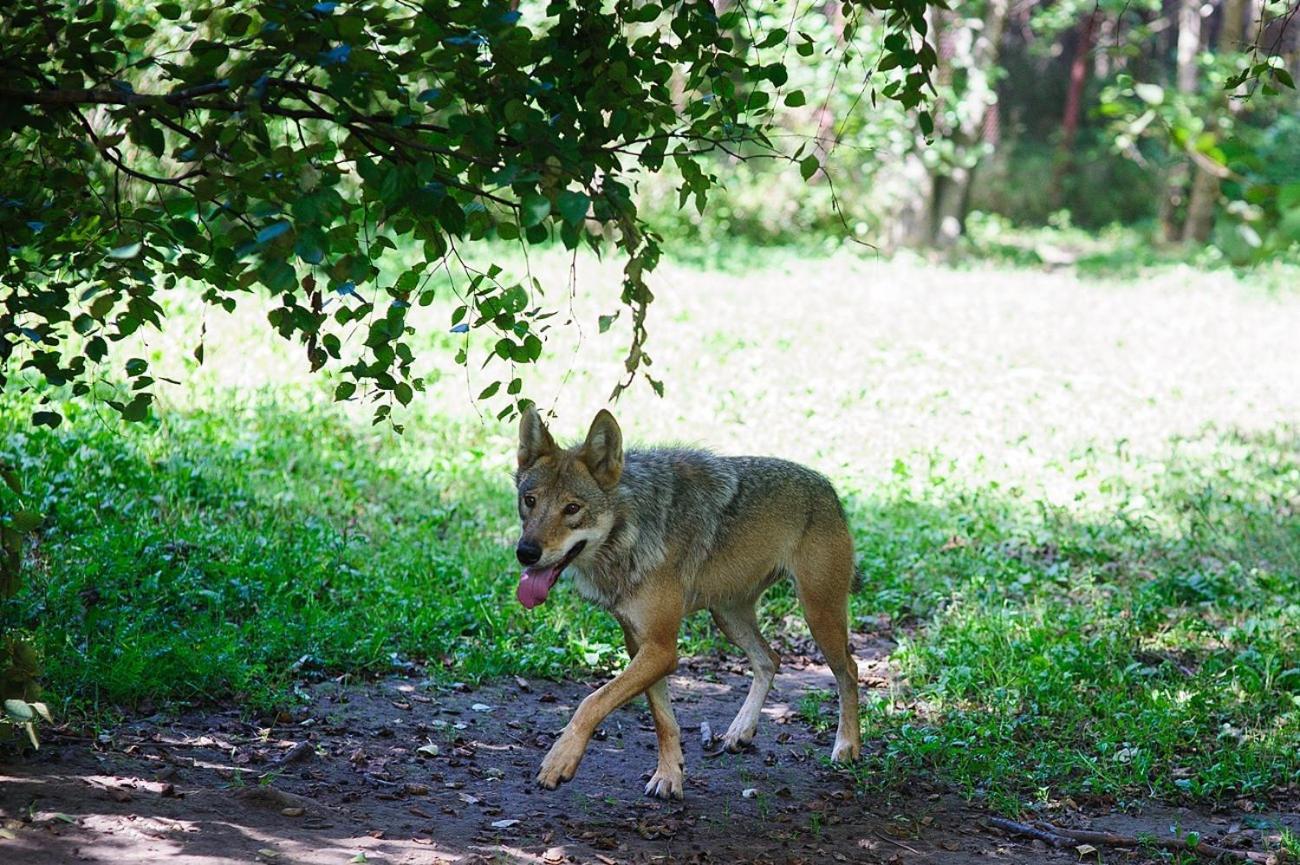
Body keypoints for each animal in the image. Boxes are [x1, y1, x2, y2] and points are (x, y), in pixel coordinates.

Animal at [509, 408, 863, 801]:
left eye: (572, 508)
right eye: (530, 501)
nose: (526, 553)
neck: (629, 533)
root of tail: (827, 486)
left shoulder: (662, 650)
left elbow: (592, 701)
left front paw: (559, 760)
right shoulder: (641, 644)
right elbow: (663, 719)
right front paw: (669, 776)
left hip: (819, 615)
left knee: (849, 670)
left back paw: (847, 747)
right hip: (727, 616)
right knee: (770, 659)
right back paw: (740, 731)